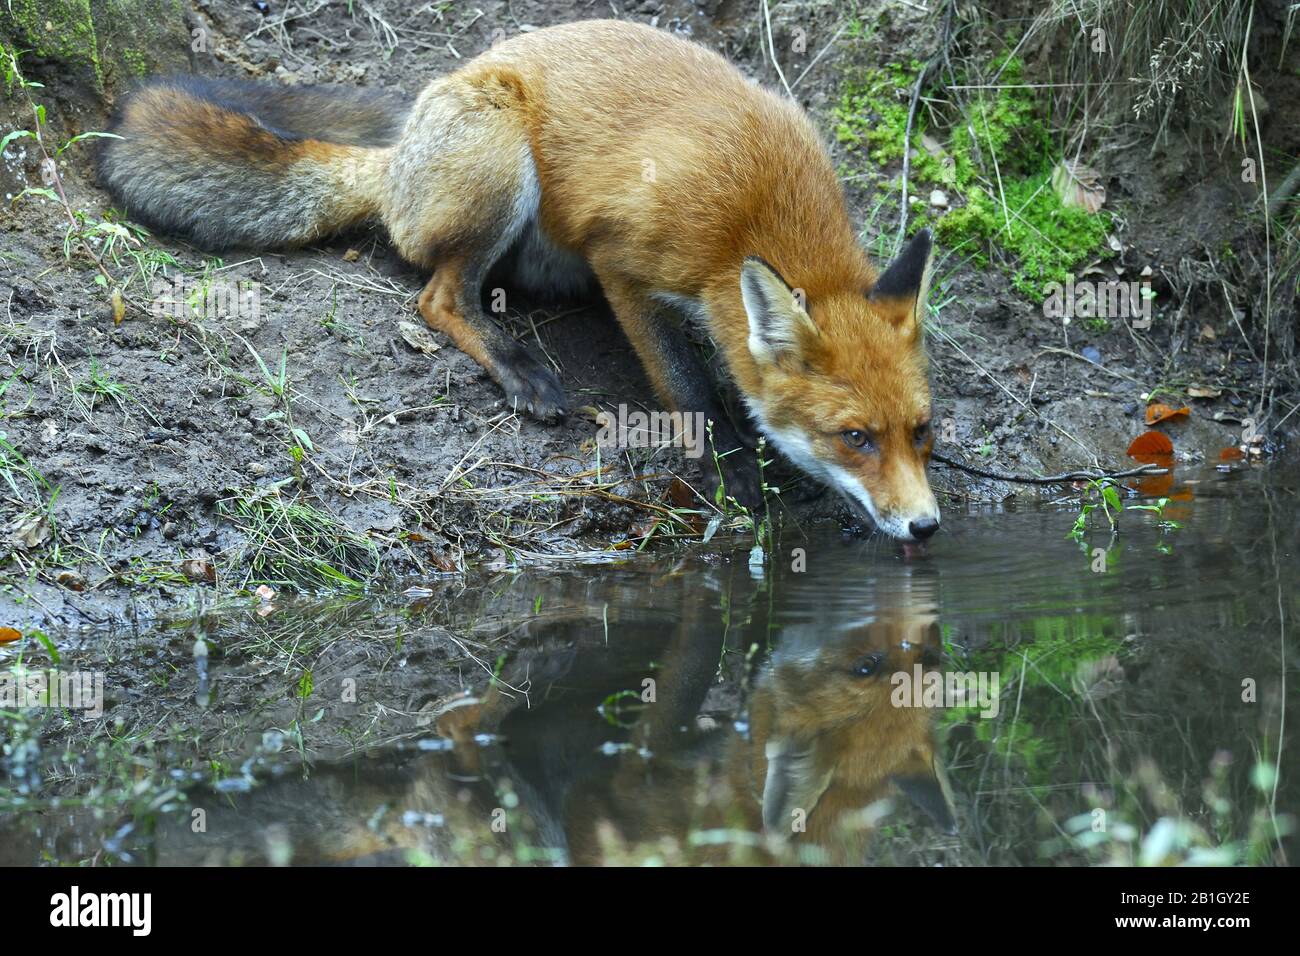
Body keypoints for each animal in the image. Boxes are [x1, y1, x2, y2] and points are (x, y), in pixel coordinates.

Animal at [96, 18, 941, 538]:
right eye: (855, 437)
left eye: (921, 431)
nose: (926, 527)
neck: (758, 210)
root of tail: (397, 160)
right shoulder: (623, 264)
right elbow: (686, 385)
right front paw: (732, 468)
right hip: (502, 164)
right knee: (438, 297)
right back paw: (516, 366)